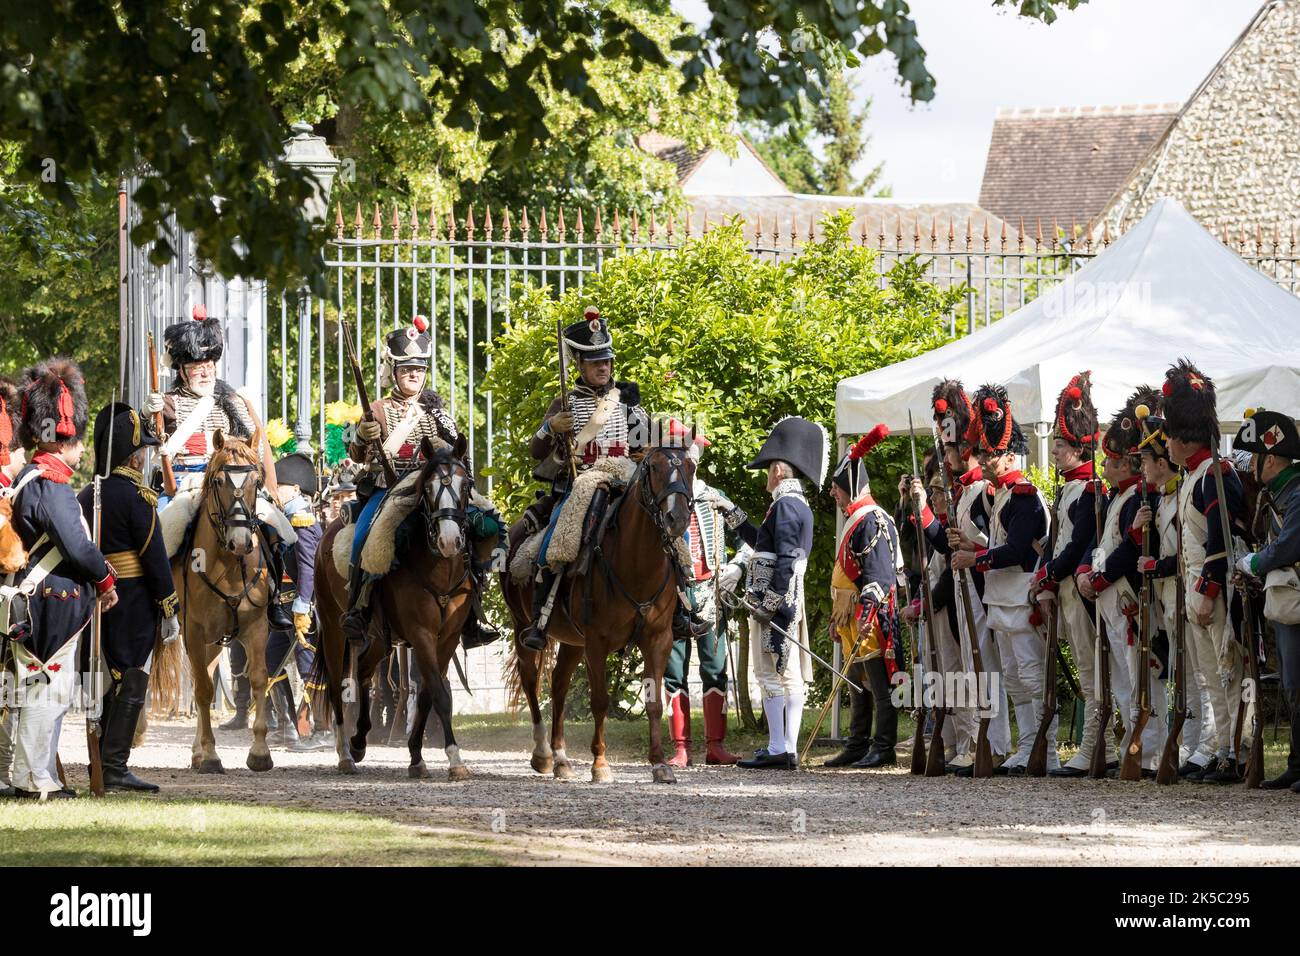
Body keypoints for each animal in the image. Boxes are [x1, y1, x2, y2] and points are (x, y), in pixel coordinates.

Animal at [175, 429, 274, 775]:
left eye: (257, 481)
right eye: (219, 481)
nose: (241, 542)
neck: (229, 565)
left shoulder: (256, 628)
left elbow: (259, 678)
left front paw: (260, 751)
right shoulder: (193, 631)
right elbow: (204, 690)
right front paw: (210, 755)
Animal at [314, 437, 478, 780]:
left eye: (465, 483)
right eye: (427, 487)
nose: (449, 541)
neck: (439, 569)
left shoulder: (448, 638)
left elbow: (428, 693)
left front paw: (416, 756)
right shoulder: (421, 634)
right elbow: (439, 694)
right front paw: (455, 759)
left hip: (380, 637)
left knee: (363, 671)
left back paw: (360, 740)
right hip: (334, 628)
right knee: (336, 683)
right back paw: (345, 753)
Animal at [501, 444, 696, 780]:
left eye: (691, 467)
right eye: (654, 468)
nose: (678, 517)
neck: (635, 564)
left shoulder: (659, 639)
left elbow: (655, 703)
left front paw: (659, 763)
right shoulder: (597, 642)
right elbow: (601, 701)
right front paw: (600, 764)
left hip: (572, 641)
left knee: (559, 684)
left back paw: (562, 759)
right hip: (522, 625)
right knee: (531, 680)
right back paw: (543, 754)